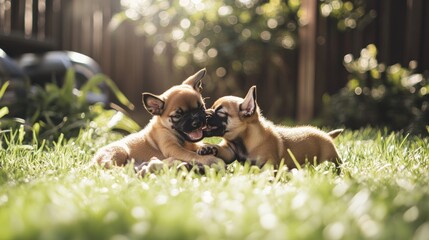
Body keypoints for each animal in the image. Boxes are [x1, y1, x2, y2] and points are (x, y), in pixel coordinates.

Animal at [91, 68, 221, 169]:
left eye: (201, 108)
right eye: (178, 116)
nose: (197, 121)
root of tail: (93, 161)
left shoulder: (189, 144)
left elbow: (197, 145)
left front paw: (205, 148)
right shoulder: (172, 148)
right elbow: (191, 155)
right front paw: (209, 159)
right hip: (119, 151)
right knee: (112, 168)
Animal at [199, 86, 342, 169]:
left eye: (220, 112)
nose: (204, 112)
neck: (244, 140)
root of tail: (326, 135)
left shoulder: (268, 163)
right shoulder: (229, 151)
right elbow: (221, 150)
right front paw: (208, 148)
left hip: (331, 156)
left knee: (337, 164)